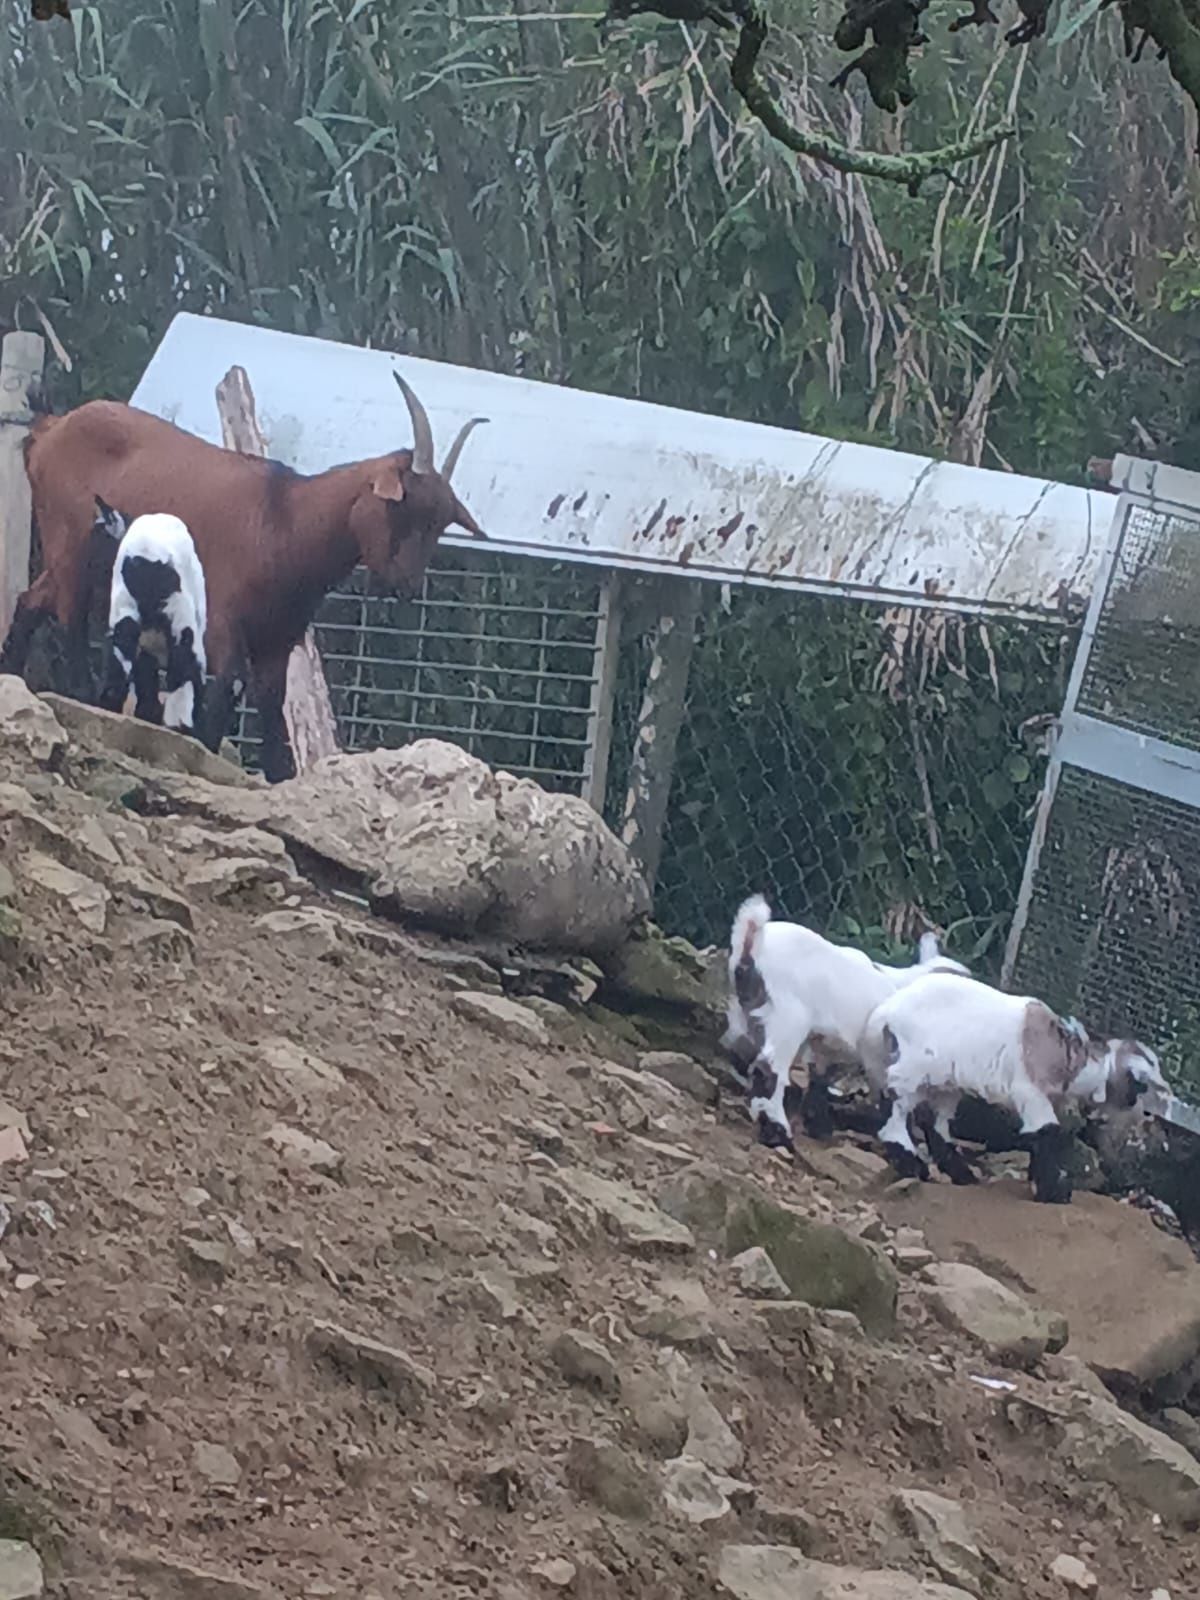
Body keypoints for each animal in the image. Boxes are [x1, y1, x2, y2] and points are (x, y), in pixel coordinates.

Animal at [729, 902, 972, 1152]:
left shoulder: (828, 1046)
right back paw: (778, 1127)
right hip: (788, 1018)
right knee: (772, 1066)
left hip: (753, 1012)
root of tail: (751, 943)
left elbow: (820, 1078)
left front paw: (819, 1125)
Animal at [857, 972, 1171, 1203]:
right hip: (913, 1066)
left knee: (936, 1124)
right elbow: (1046, 1131)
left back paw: (961, 1174)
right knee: (896, 1106)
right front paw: (1055, 1192)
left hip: (944, 1081)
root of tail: (884, 1014)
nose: (1141, 1114)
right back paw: (912, 1163)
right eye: (1140, 1087)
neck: (1070, 1055)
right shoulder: (1030, 1091)